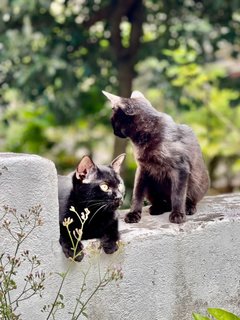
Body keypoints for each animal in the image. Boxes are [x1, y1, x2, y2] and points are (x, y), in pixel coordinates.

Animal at [102, 89, 209, 225]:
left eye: (113, 120)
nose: (114, 132)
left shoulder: (180, 168)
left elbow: (178, 194)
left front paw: (178, 214)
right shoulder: (142, 169)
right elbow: (137, 194)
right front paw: (133, 213)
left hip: (197, 183)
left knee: (189, 199)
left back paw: (188, 207)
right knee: (161, 202)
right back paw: (157, 208)